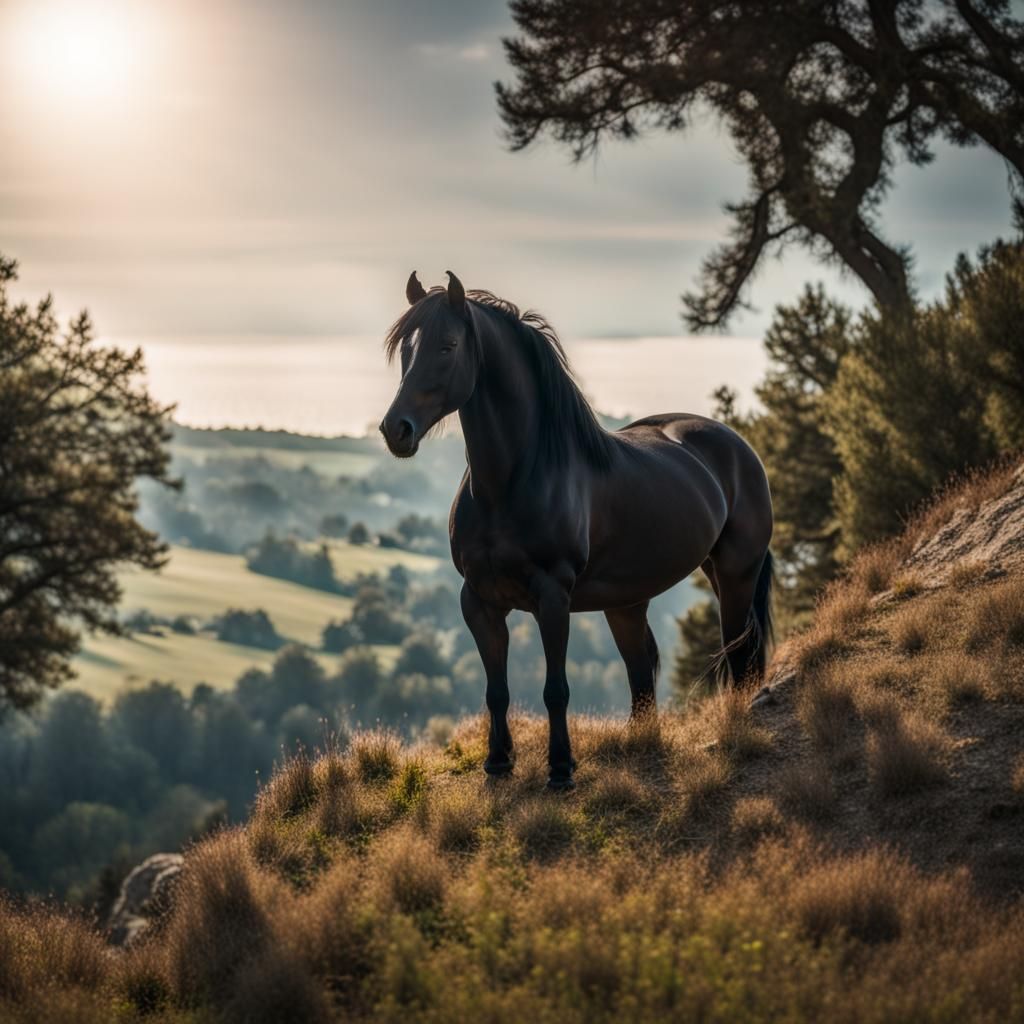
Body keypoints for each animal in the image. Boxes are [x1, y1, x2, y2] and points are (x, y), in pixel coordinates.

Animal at [379, 271, 773, 790]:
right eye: (405, 349)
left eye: (447, 345)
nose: (395, 429)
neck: (510, 483)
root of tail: (736, 444)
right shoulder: (479, 601)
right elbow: (496, 690)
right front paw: (497, 763)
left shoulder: (553, 598)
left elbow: (556, 690)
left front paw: (561, 769)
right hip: (627, 601)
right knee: (641, 670)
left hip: (734, 574)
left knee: (739, 655)